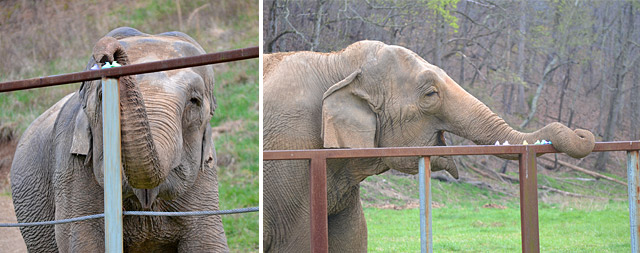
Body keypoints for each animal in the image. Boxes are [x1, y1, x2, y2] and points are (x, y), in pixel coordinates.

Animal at [9, 26, 228, 252]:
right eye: (102, 97)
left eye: (194, 101)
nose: (109, 53)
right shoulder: (70, 170)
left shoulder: (206, 176)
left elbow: (208, 242)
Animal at [262, 40, 596, 252]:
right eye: (431, 94)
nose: (583, 133)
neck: (335, 61)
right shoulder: (289, 156)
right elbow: (298, 244)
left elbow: (351, 239)